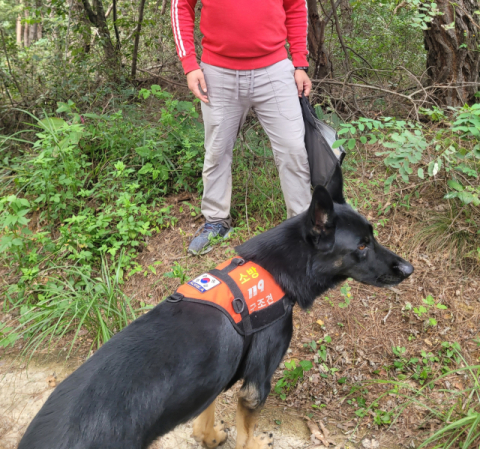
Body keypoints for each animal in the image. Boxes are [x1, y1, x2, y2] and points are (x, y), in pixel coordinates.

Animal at [19, 172, 412, 448]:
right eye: (361, 245)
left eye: (372, 237)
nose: (409, 269)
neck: (275, 271)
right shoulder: (256, 385)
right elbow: (246, 435)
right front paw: (251, 442)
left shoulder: (215, 375)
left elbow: (205, 414)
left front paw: (208, 438)